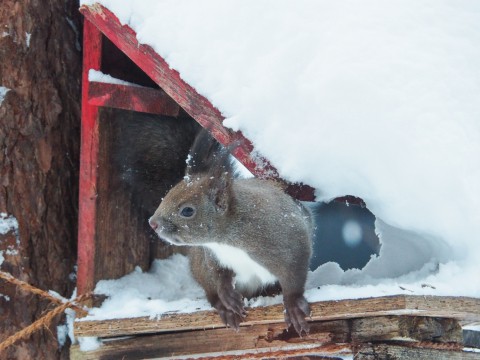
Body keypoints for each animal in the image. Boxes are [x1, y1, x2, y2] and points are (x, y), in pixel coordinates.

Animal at [150, 129, 316, 334]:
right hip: (199, 266)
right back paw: (224, 307)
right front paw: (227, 296)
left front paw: (293, 306)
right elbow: (219, 274)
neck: (227, 239)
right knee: (211, 291)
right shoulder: (212, 255)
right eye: (169, 193)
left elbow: (295, 275)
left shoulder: (288, 243)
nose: (152, 223)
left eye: (187, 211)